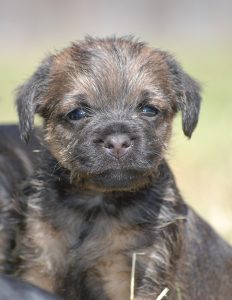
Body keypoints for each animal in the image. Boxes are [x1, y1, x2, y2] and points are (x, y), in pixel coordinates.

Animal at [13, 36, 231, 298]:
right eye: (77, 113)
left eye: (149, 110)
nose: (117, 141)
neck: (95, 205)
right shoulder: (38, 264)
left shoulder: (135, 274)